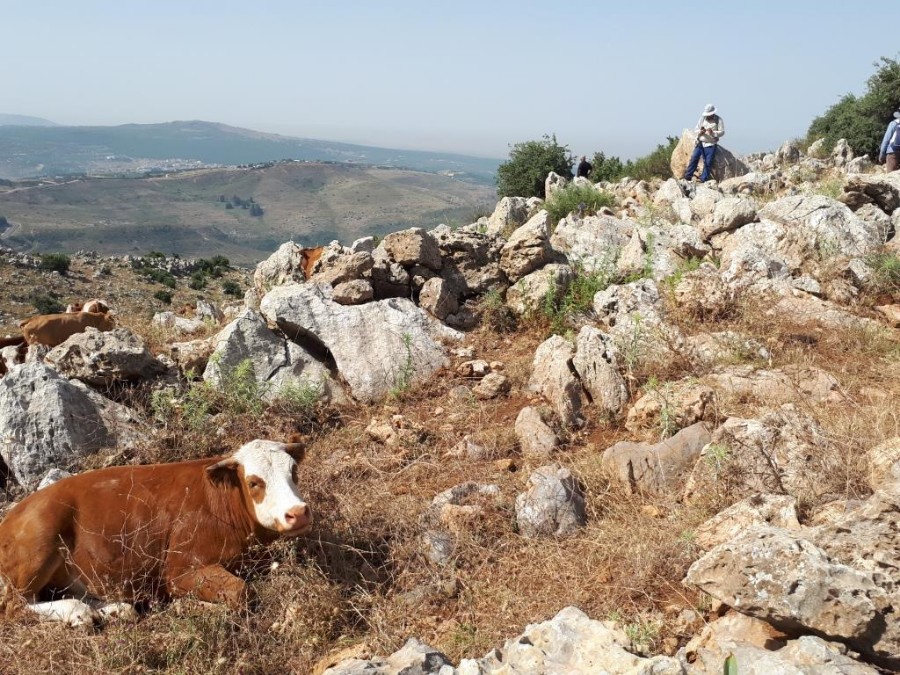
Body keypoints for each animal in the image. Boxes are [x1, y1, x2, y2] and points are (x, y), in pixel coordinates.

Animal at [0, 438, 312, 628]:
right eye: (254, 482)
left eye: (294, 471)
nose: (297, 512)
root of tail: (11, 514)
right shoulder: (180, 569)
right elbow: (241, 593)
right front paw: (184, 608)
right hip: (40, 540)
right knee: (14, 607)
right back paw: (77, 612)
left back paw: (114, 610)